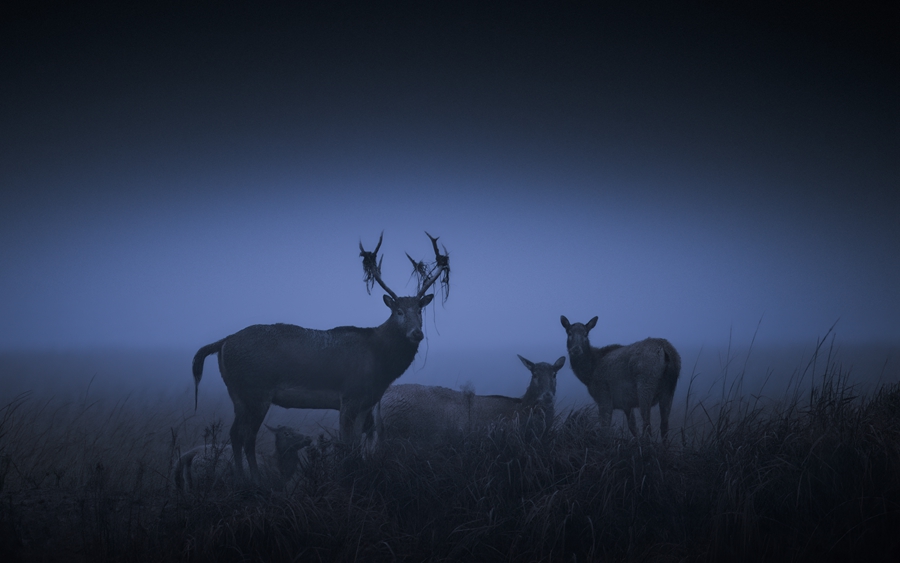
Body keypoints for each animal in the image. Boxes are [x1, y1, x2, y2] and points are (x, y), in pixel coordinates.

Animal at [370, 354, 564, 442]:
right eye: (534, 375)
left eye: (554, 374)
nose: (547, 396)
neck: (522, 407)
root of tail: (383, 397)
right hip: (402, 434)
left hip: (379, 434)